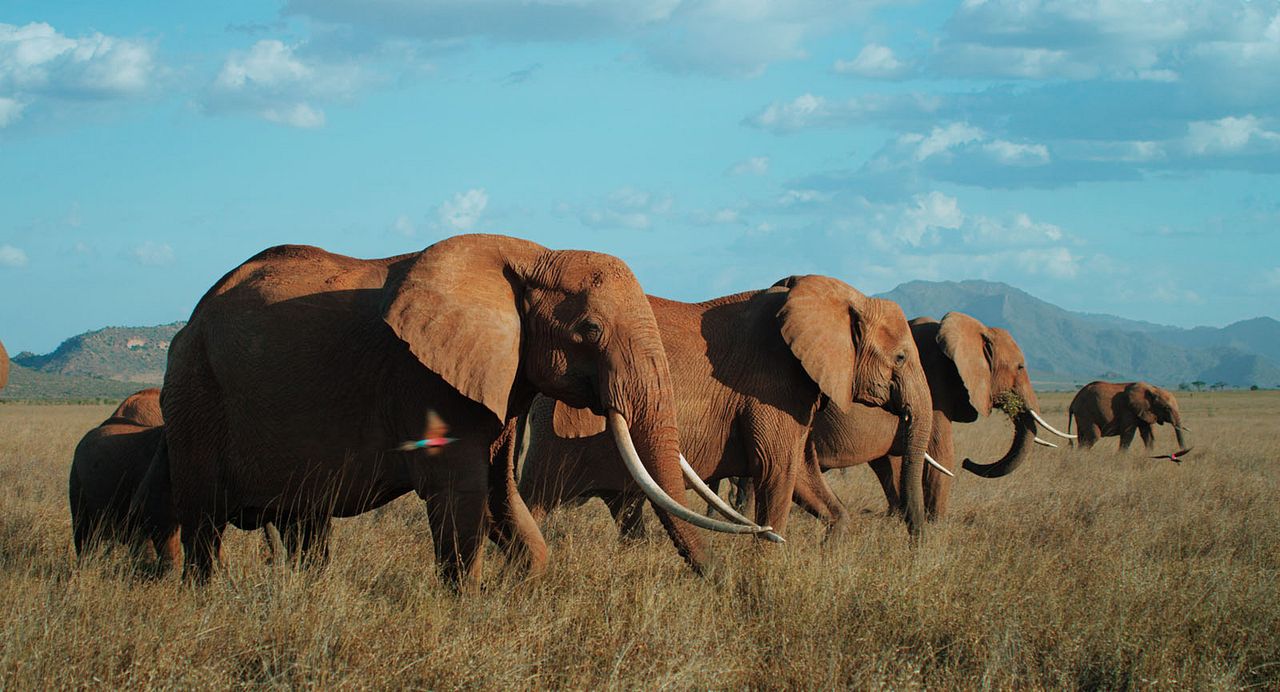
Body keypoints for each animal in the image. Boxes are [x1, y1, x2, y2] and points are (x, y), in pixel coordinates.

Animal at [144, 234, 761, 585]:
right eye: (589, 330)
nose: (721, 585)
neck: (530, 256)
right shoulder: (424, 379)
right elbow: (461, 492)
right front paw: (469, 601)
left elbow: (500, 492)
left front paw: (527, 583)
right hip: (194, 393)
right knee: (204, 522)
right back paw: (206, 598)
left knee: (304, 522)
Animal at [515, 274, 932, 546]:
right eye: (899, 358)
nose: (917, 541)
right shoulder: (770, 388)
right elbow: (778, 472)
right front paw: (765, 564)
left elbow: (803, 477)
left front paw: (832, 546)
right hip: (555, 437)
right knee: (535, 500)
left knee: (627, 511)